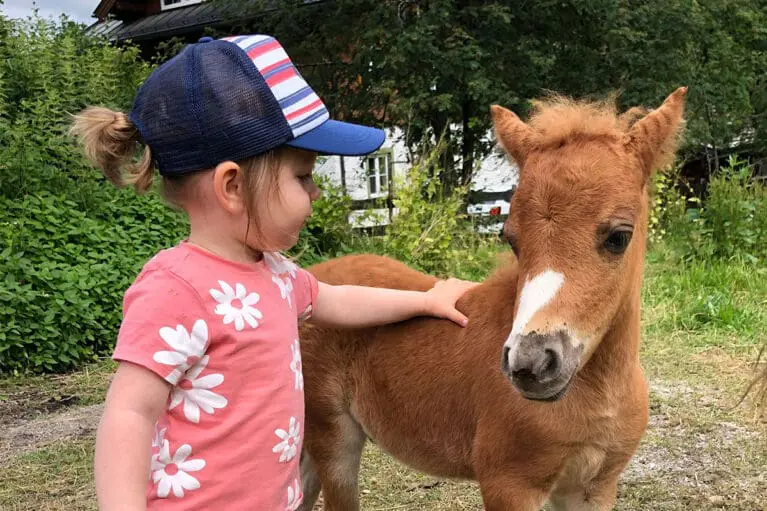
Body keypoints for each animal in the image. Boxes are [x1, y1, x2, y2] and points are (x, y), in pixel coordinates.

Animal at [297, 87, 688, 511]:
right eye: (511, 238)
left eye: (618, 237)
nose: (529, 364)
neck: (600, 392)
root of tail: (311, 280)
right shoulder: (508, 484)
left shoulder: (595, 488)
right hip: (333, 439)